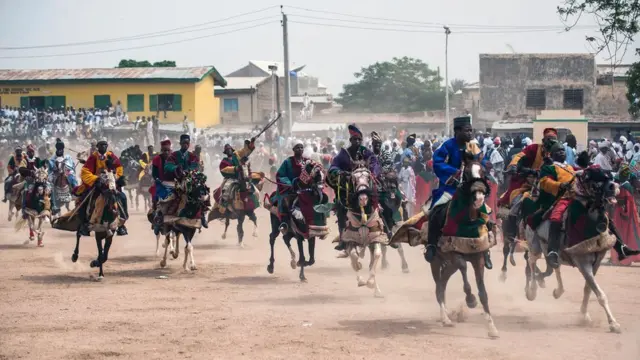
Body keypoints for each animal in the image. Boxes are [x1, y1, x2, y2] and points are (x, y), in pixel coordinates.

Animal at [524, 167, 624, 334]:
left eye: (608, 175)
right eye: (596, 178)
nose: (614, 186)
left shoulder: (597, 261)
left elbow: (588, 289)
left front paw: (584, 316)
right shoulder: (582, 262)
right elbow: (599, 293)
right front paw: (614, 324)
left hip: (550, 249)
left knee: (554, 265)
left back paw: (558, 290)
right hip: (535, 245)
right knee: (532, 261)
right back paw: (532, 290)